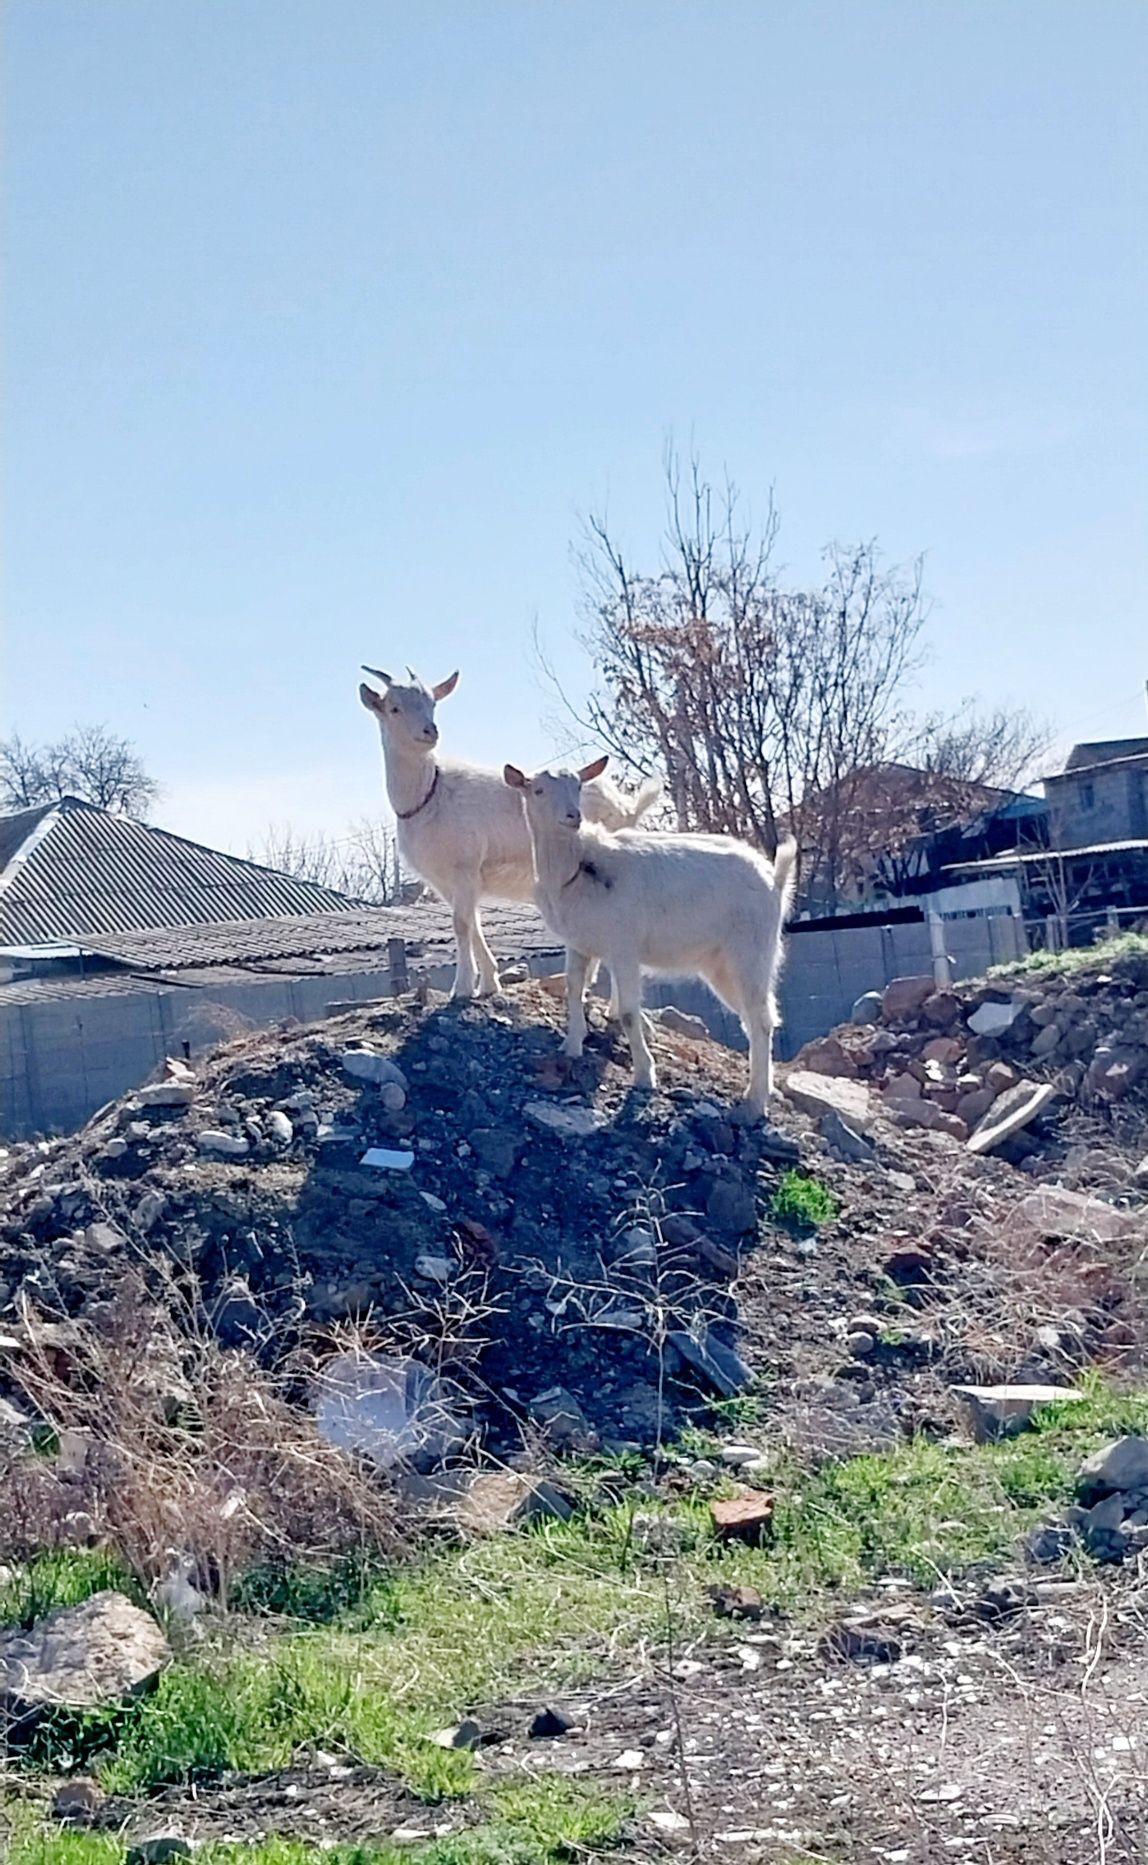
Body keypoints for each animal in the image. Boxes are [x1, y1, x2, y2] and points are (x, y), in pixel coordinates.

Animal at [357, 667, 663, 999]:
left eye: (432, 703)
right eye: (394, 708)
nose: (429, 731)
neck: (428, 794)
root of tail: (625, 808)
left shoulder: (465, 867)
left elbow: (461, 924)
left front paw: (462, 988)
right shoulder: (444, 880)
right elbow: (473, 923)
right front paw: (489, 983)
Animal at [506, 753, 793, 1111]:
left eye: (578, 786)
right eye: (538, 790)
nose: (573, 816)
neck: (577, 866)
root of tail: (775, 879)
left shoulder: (623, 948)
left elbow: (629, 1013)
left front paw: (644, 1075)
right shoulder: (579, 944)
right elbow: (574, 990)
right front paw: (571, 1046)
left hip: (752, 953)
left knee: (760, 1019)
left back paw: (755, 1099)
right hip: (720, 966)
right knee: (756, 1019)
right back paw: (764, 1089)